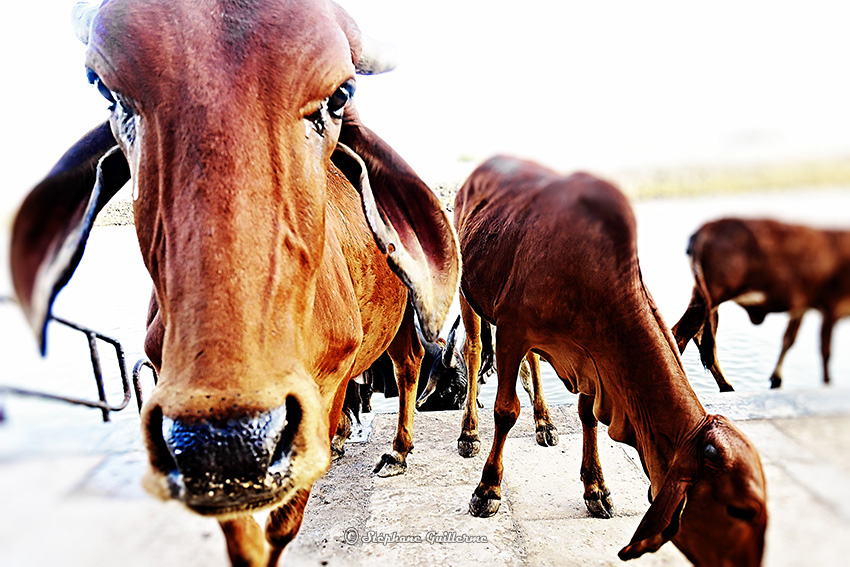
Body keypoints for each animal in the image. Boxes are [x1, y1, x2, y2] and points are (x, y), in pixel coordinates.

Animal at [8, 2, 458, 564]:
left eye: (339, 96)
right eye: (108, 93)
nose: (227, 444)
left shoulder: (328, 387)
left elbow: (285, 521)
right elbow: (242, 539)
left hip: (402, 327)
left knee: (408, 368)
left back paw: (397, 451)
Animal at [454, 156, 764, 567]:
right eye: (739, 509)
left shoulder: (591, 356)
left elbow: (587, 416)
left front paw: (596, 488)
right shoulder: (512, 330)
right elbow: (505, 411)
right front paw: (488, 489)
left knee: (533, 362)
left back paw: (544, 423)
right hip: (468, 293)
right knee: (473, 352)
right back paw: (469, 433)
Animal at [668, 217, 848, 390]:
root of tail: (707, 227)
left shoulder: (802, 307)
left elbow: (789, 338)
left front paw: (776, 379)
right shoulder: (830, 307)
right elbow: (826, 352)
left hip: (708, 302)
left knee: (703, 342)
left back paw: (728, 388)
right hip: (712, 296)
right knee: (681, 334)